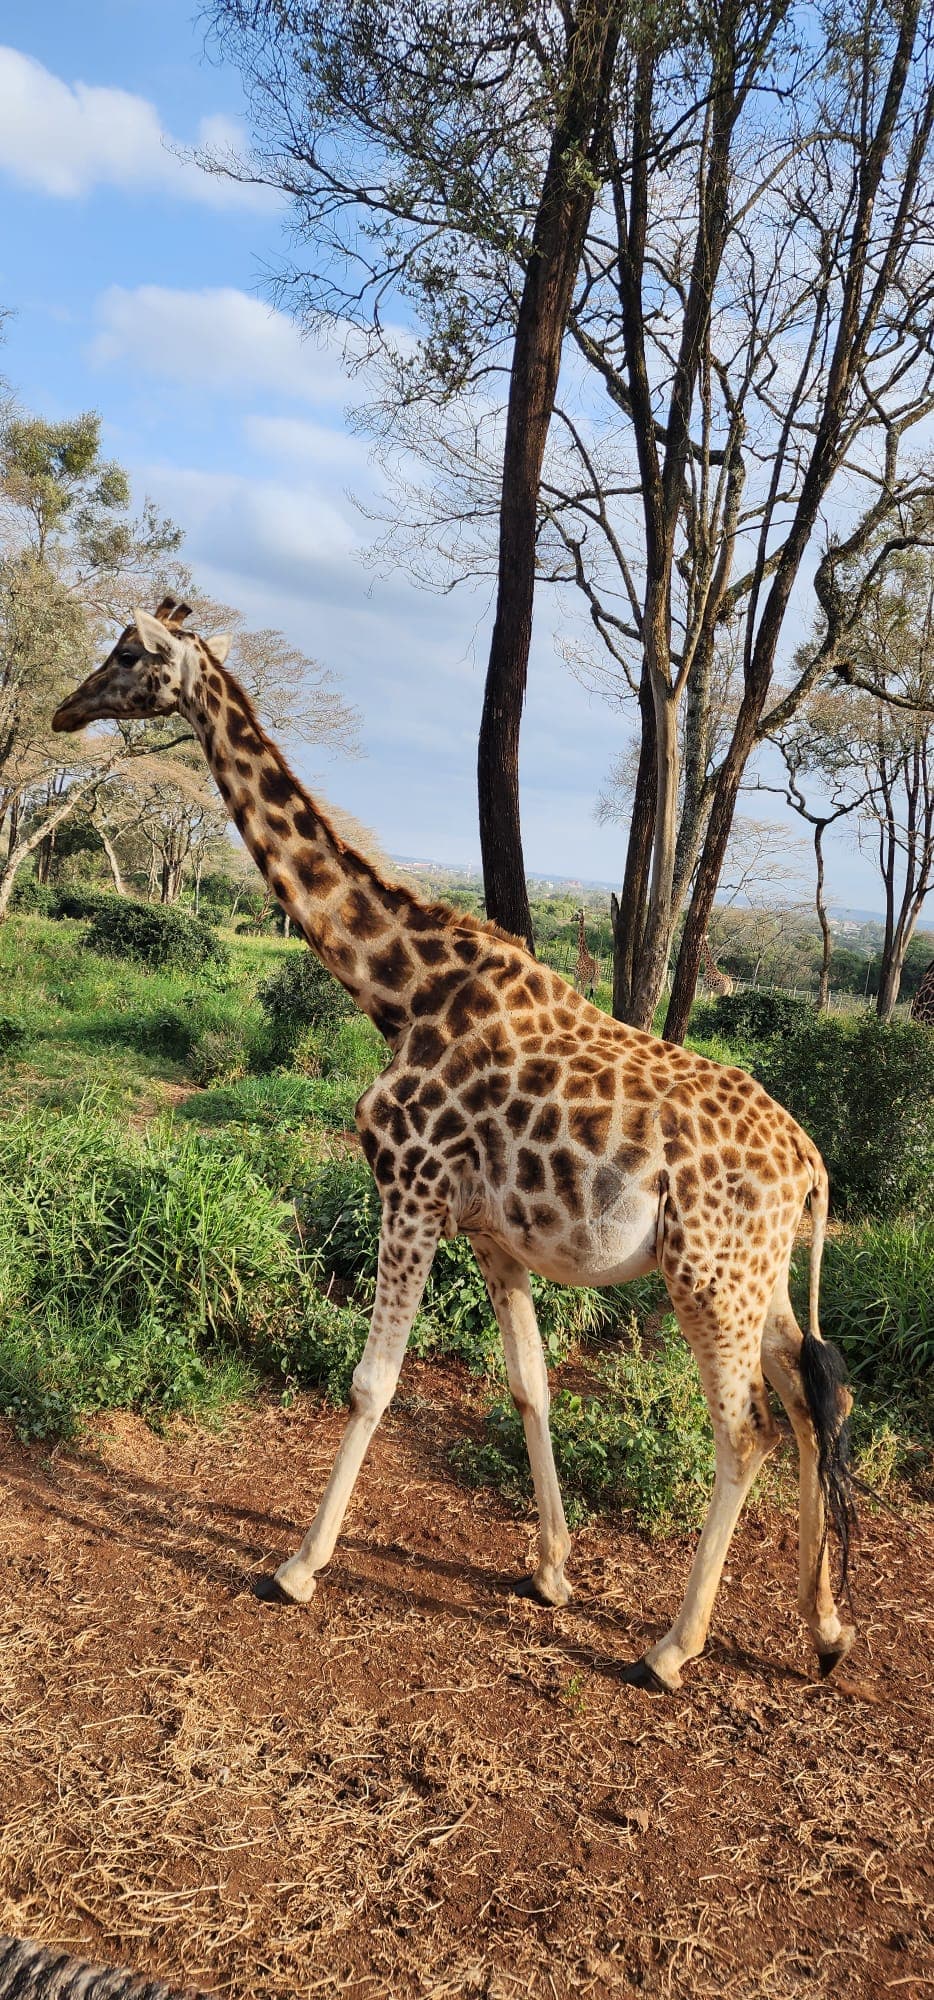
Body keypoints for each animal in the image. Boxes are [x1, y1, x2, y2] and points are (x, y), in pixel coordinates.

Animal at [53, 600, 856, 1692]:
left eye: (129, 652)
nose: (64, 708)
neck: (398, 985)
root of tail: (811, 1164)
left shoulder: (412, 1188)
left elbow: (372, 1383)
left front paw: (299, 1563)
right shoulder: (492, 1235)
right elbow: (529, 1385)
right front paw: (551, 1570)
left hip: (706, 1274)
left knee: (748, 1432)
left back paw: (671, 1647)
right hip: (756, 1278)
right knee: (812, 1399)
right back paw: (824, 1630)